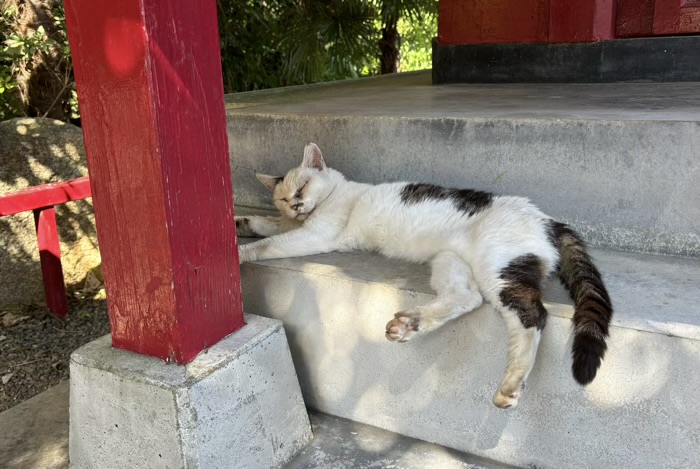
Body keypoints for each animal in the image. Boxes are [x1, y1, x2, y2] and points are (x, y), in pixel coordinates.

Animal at [235, 142, 612, 406]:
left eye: (302, 188)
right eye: (283, 198)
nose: (297, 205)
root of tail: (547, 219)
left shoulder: (317, 235)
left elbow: (270, 243)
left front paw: (238, 251)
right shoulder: (295, 225)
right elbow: (270, 225)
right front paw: (241, 223)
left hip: (498, 268)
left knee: (533, 316)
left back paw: (511, 383)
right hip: (451, 263)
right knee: (467, 298)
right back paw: (410, 324)